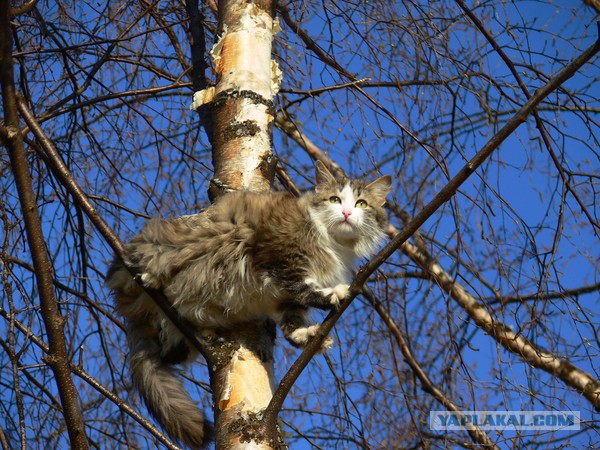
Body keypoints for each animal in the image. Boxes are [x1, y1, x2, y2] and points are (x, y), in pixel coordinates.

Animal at [105, 161, 392, 446]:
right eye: (335, 199)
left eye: (362, 204)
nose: (346, 212)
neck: (333, 243)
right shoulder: (278, 260)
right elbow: (303, 289)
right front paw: (334, 294)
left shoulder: (282, 299)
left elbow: (291, 320)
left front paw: (306, 336)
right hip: (162, 250)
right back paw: (149, 277)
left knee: (168, 353)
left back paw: (203, 331)